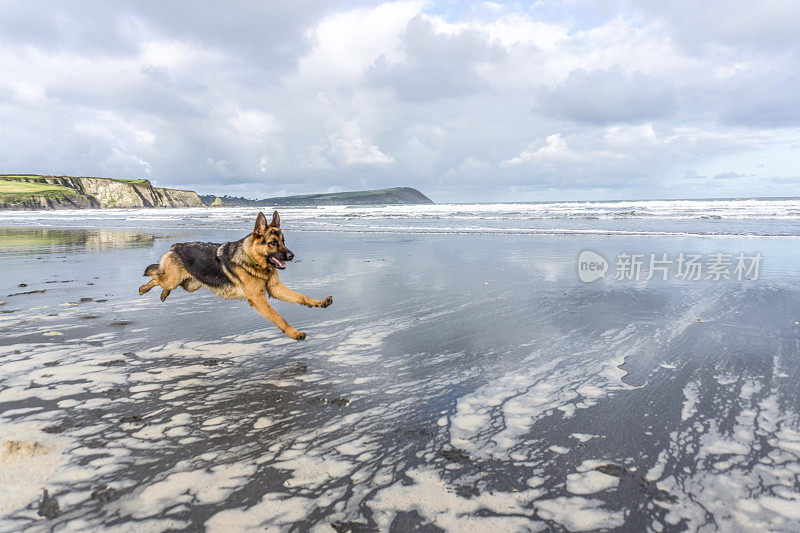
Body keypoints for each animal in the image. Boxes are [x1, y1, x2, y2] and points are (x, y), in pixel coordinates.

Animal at [139, 210, 332, 338]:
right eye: (273, 243)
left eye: (283, 241)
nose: (292, 256)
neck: (253, 260)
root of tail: (175, 246)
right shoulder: (258, 298)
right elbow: (279, 318)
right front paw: (294, 333)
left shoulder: (276, 289)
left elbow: (301, 297)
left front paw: (319, 302)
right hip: (175, 279)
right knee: (157, 277)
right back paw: (144, 288)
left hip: (190, 284)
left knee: (163, 280)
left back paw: (163, 294)